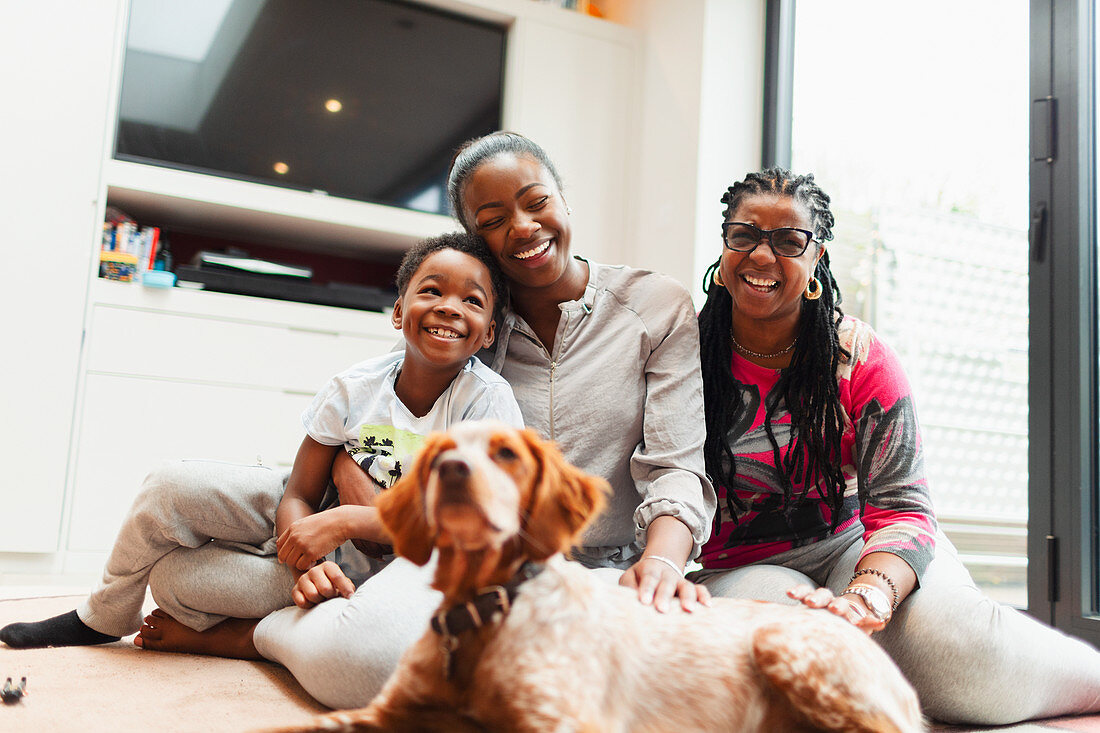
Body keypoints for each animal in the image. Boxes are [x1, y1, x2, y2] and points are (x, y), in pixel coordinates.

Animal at [270, 420, 924, 726]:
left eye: (506, 454)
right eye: (439, 454)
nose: (452, 472)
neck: (484, 607)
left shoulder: (561, 721)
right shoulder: (384, 713)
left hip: (784, 643)